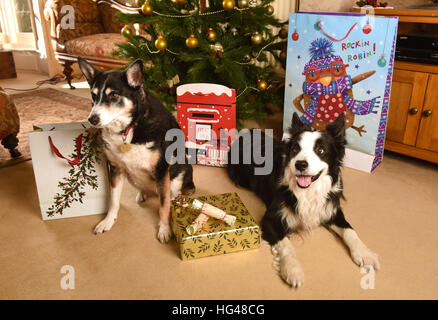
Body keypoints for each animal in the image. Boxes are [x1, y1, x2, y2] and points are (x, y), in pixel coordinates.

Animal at [78, 57, 195, 242]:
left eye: (114, 94)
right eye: (93, 96)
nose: (92, 119)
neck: (129, 128)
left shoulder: (162, 171)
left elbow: (164, 206)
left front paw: (164, 229)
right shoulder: (116, 169)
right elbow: (114, 201)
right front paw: (108, 221)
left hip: (180, 174)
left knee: (173, 193)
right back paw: (143, 193)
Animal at [228, 113, 378, 288]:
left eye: (321, 150)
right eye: (295, 149)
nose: (300, 164)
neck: (308, 192)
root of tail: (248, 133)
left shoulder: (331, 210)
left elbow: (350, 230)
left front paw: (365, 253)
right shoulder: (270, 219)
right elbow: (286, 244)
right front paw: (293, 270)